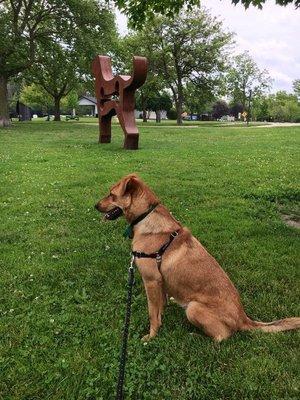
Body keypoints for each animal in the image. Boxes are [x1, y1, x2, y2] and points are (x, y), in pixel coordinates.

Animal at [95, 173, 300, 342]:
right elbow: (160, 307)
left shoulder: (151, 281)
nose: (94, 206)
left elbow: (152, 314)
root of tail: (243, 318)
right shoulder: (160, 282)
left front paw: (151, 336)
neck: (146, 217)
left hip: (194, 308)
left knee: (221, 337)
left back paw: (195, 336)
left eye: (111, 194)